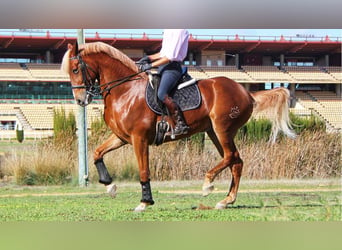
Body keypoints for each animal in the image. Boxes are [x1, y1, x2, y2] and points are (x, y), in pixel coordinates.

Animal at [60, 41, 294, 211]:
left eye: (75, 69)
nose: (80, 100)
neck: (125, 90)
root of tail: (246, 92)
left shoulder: (139, 138)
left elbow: (143, 170)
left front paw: (145, 202)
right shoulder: (121, 137)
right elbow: (97, 153)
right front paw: (110, 186)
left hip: (222, 129)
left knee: (231, 157)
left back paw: (208, 184)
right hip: (214, 132)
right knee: (236, 161)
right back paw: (226, 200)